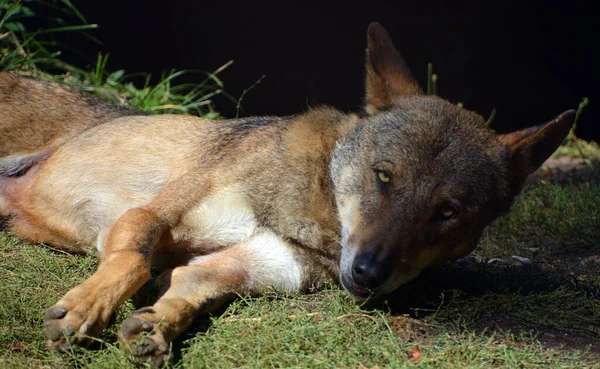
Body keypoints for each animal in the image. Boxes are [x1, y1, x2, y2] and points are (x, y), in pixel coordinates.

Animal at [0, 23, 572, 366]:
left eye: (447, 212)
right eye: (384, 177)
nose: (368, 274)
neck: (307, 212)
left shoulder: (238, 269)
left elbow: (184, 288)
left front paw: (157, 326)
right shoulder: (146, 217)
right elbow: (134, 263)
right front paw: (84, 310)